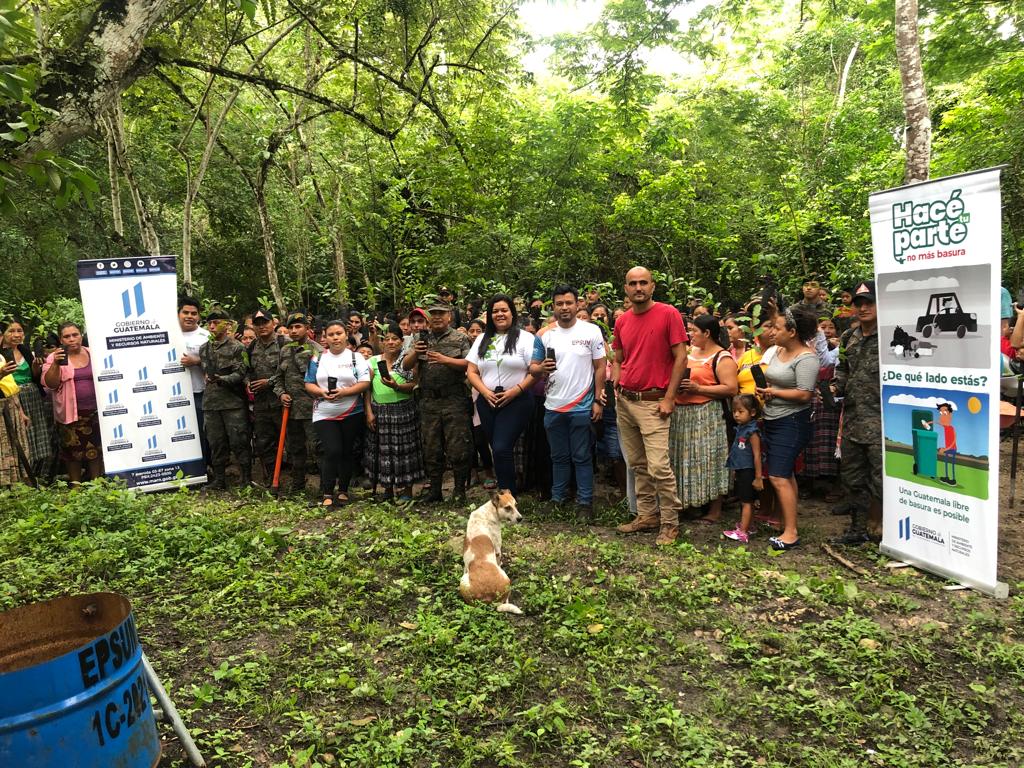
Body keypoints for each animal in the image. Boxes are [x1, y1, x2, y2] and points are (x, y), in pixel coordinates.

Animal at [460, 489, 524, 618]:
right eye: (508, 508)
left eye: (516, 505)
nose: (520, 518)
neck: (490, 510)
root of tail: (489, 601)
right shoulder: (498, 548)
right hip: (505, 577)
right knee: (506, 599)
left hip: (462, 580)